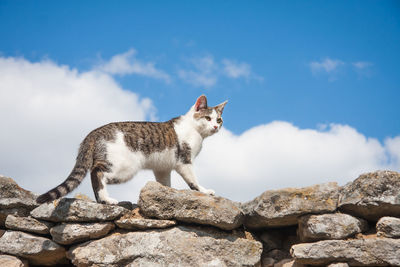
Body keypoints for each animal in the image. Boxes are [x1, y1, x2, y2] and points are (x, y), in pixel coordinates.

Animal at [37, 96, 227, 205]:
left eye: (219, 119)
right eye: (207, 118)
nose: (215, 126)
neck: (195, 130)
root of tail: (93, 132)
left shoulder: (162, 167)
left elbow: (165, 184)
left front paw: (167, 193)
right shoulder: (184, 160)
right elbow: (193, 181)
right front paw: (204, 190)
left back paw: (101, 200)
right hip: (125, 166)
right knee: (97, 171)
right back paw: (106, 199)